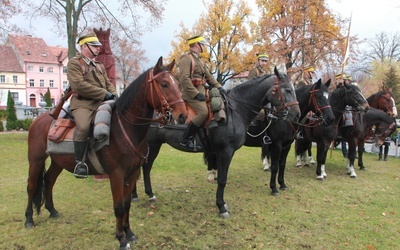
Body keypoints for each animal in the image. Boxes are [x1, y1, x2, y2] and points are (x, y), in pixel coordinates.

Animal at [24, 57, 188, 250]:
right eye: (164, 84)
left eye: (176, 83)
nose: (183, 115)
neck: (125, 129)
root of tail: (40, 119)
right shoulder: (116, 174)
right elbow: (118, 206)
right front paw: (121, 238)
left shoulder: (132, 173)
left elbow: (127, 204)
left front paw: (129, 232)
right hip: (36, 160)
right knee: (32, 186)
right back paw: (28, 220)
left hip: (58, 162)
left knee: (49, 180)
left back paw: (52, 210)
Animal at [134, 68, 300, 217]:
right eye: (287, 90)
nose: (297, 114)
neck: (235, 110)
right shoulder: (227, 151)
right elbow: (222, 179)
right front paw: (221, 207)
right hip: (152, 145)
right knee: (143, 168)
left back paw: (146, 194)